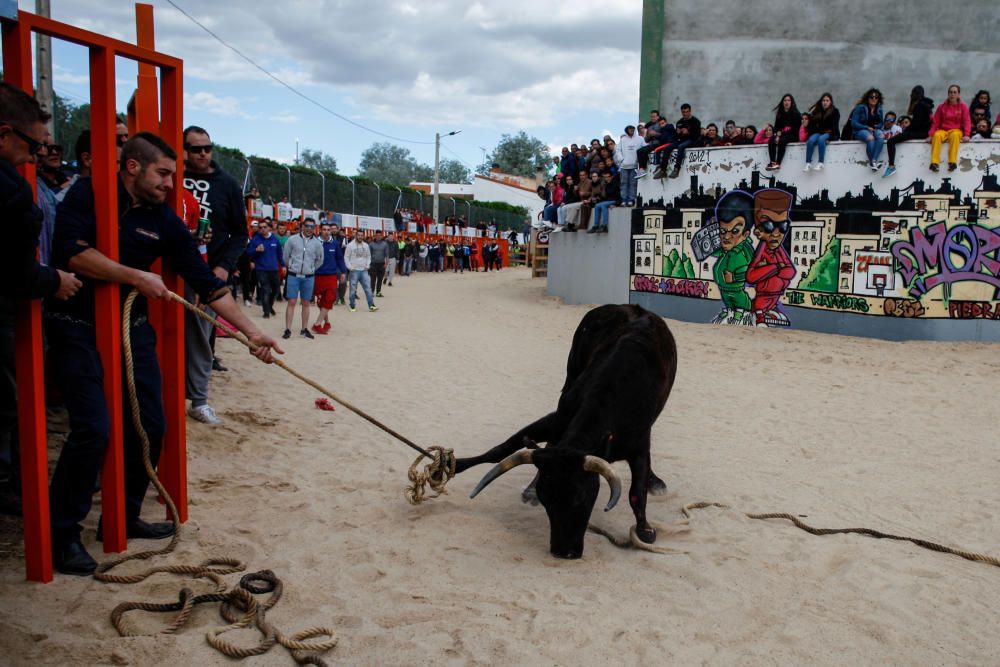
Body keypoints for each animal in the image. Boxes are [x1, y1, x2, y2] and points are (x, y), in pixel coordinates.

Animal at [456, 306, 680, 560]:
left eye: (581, 497)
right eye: (547, 498)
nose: (564, 552)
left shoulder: (639, 444)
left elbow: (636, 493)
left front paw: (645, 531)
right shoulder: (558, 419)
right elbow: (504, 449)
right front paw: (453, 465)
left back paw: (655, 482)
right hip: (570, 373)